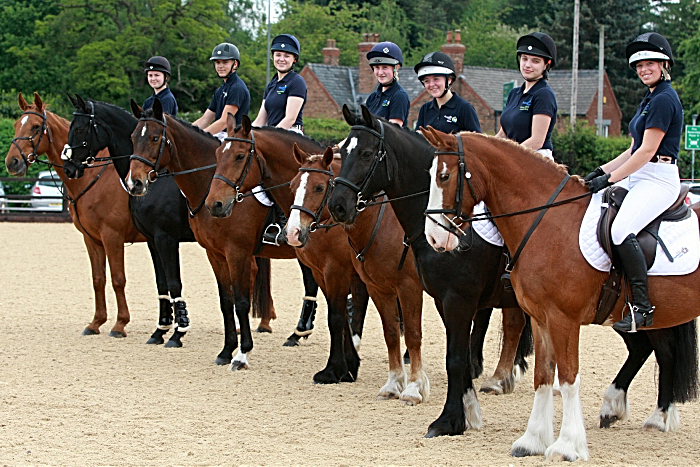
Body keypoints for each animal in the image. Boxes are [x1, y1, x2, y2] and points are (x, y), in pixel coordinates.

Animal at [5, 93, 148, 338]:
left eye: (35, 126)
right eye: (15, 125)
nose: (12, 162)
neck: (93, 178)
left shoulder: (112, 236)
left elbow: (118, 279)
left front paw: (120, 324)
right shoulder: (92, 239)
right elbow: (98, 279)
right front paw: (96, 322)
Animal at [60, 95, 322, 350]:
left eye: (81, 129)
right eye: (133, 137)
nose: (135, 182)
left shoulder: (164, 238)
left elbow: (172, 283)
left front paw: (177, 332)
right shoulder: (154, 240)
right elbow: (162, 284)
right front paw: (161, 329)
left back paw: (296, 331)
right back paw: (294, 332)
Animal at [328, 105, 536, 438]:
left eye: (366, 153)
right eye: (342, 151)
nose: (338, 206)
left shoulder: (449, 297)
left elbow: (443, 351)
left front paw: (440, 412)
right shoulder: (434, 298)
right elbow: (413, 340)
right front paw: (466, 410)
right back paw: (502, 378)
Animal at [422, 128, 700, 464]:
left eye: (445, 176)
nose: (434, 238)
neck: (548, 221)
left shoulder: (562, 319)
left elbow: (567, 377)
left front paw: (568, 445)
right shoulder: (541, 318)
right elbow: (543, 376)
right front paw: (532, 441)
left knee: (662, 352)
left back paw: (652, 416)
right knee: (662, 352)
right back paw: (650, 414)